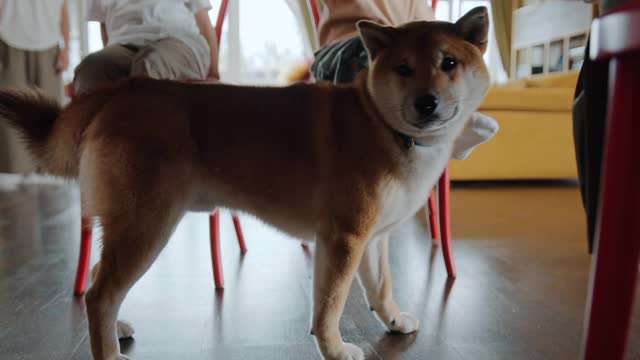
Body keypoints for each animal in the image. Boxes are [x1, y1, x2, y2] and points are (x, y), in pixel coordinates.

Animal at [1, 6, 490, 360]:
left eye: (449, 63)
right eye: (404, 69)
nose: (427, 103)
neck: (381, 124)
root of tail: (120, 92)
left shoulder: (371, 238)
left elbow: (381, 288)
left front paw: (394, 321)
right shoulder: (344, 239)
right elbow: (330, 306)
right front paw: (335, 350)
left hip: (132, 224)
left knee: (98, 282)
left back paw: (115, 328)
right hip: (149, 224)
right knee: (100, 294)